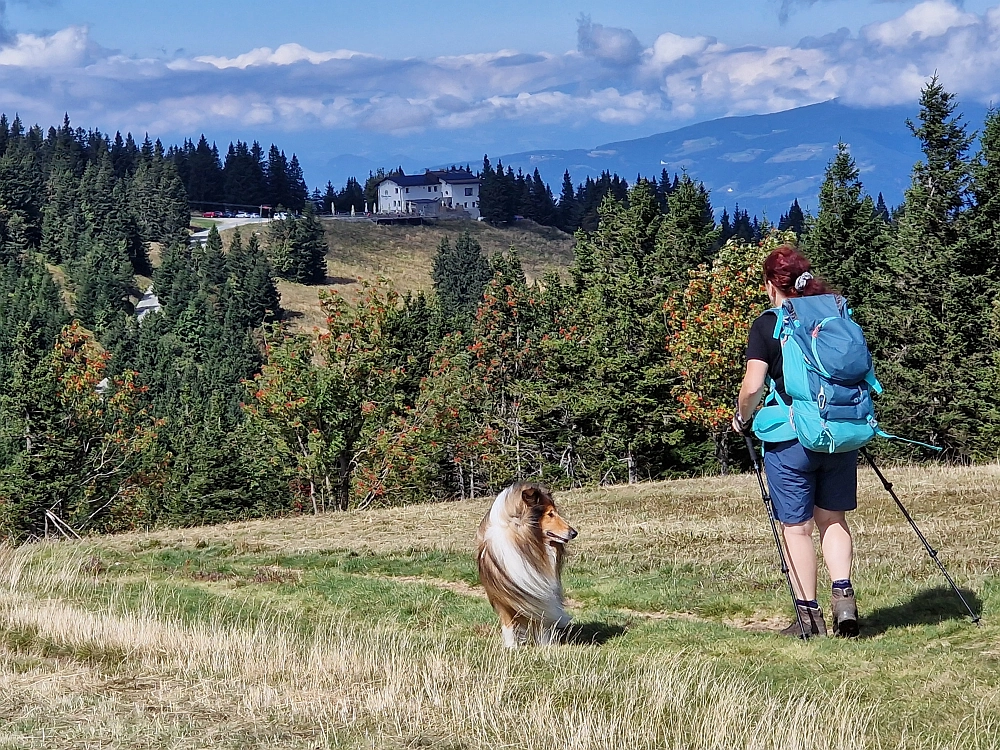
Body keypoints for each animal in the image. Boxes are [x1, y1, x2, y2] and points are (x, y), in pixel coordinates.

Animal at [476, 484, 580, 648]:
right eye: (550, 514)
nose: (574, 533)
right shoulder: (503, 597)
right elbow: (508, 624)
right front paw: (511, 647)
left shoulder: (540, 594)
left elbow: (542, 622)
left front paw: (545, 646)